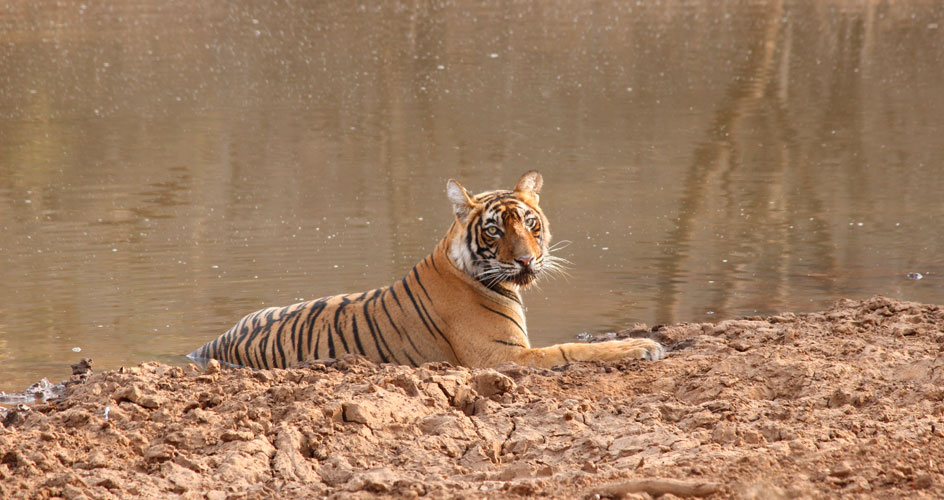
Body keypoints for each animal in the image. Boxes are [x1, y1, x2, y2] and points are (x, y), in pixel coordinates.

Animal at [188, 172, 664, 372]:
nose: (527, 261)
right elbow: (573, 349)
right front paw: (642, 346)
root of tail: (208, 346)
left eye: (530, 223)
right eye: (494, 229)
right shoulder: (504, 356)